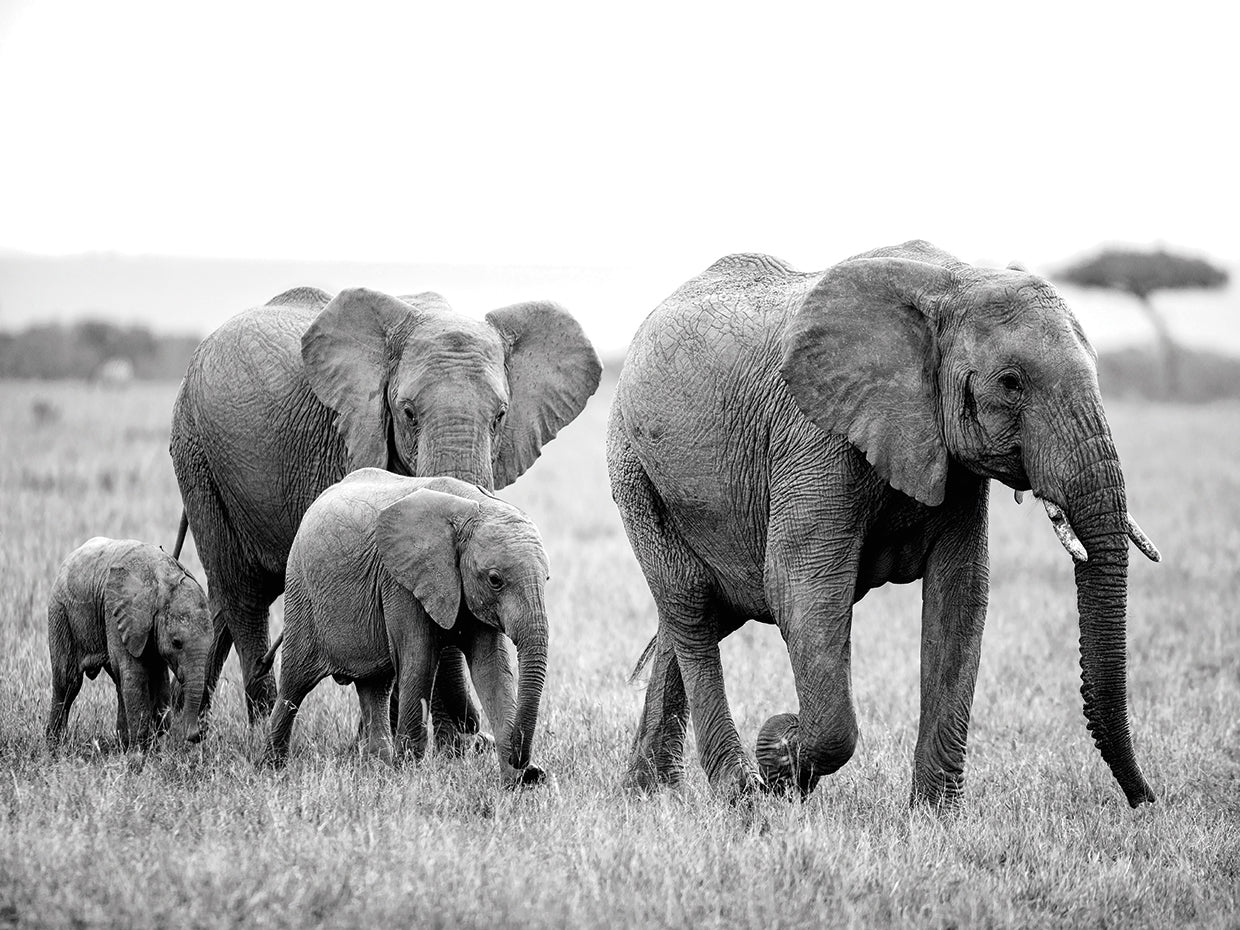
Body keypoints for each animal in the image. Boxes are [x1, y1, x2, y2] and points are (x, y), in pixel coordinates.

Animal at [45, 537, 211, 746]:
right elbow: (136, 673)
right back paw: (54, 744)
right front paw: (140, 748)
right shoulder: (116, 611)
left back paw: (122, 742)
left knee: (117, 681)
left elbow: (157, 675)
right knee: (68, 681)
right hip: (60, 611)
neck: (164, 579)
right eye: (176, 642)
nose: (198, 734)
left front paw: (153, 742)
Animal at [170, 285, 600, 743]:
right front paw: (449, 743)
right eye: (408, 413)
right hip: (199, 457)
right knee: (243, 593)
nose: (475, 731)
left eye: (501, 416)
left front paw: (452, 742)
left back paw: (182, 727)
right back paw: (248, 727)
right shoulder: (351, 436)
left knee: (221, 598)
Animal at [262, 470, 550, 786]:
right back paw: (272, 769)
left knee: (375, 687)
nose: (528, 766)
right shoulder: (401, 582)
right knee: (294, 683)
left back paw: (379, 768)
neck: (471, 508)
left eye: (547, 579)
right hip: (301, 594)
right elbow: (419, 661)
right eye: (495, 579)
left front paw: (520, 782)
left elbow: (492, 669)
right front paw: (410, 776)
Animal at [608, 241, 1161, 808]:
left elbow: (960, 595)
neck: (955, 281)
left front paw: (934, 815)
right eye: (1011, 384)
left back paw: (647, 790)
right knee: (693, 607)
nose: (1149, 801)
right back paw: (736, 791)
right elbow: (800, 588)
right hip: (633, 466)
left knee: (702, 614)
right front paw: (780, 757)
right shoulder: (815, 436)